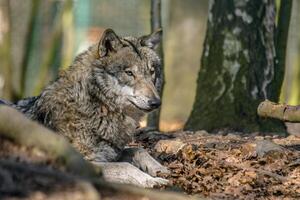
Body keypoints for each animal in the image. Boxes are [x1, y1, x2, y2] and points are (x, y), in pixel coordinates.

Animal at [0, 29, 169, 188]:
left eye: (151, 72)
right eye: (129, 73)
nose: (156, 102)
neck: (98, 105)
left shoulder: (110, 152)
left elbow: (139, 150)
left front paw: (160, 169)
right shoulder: (86, 162)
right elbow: (126, 166)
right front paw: (151, 180)